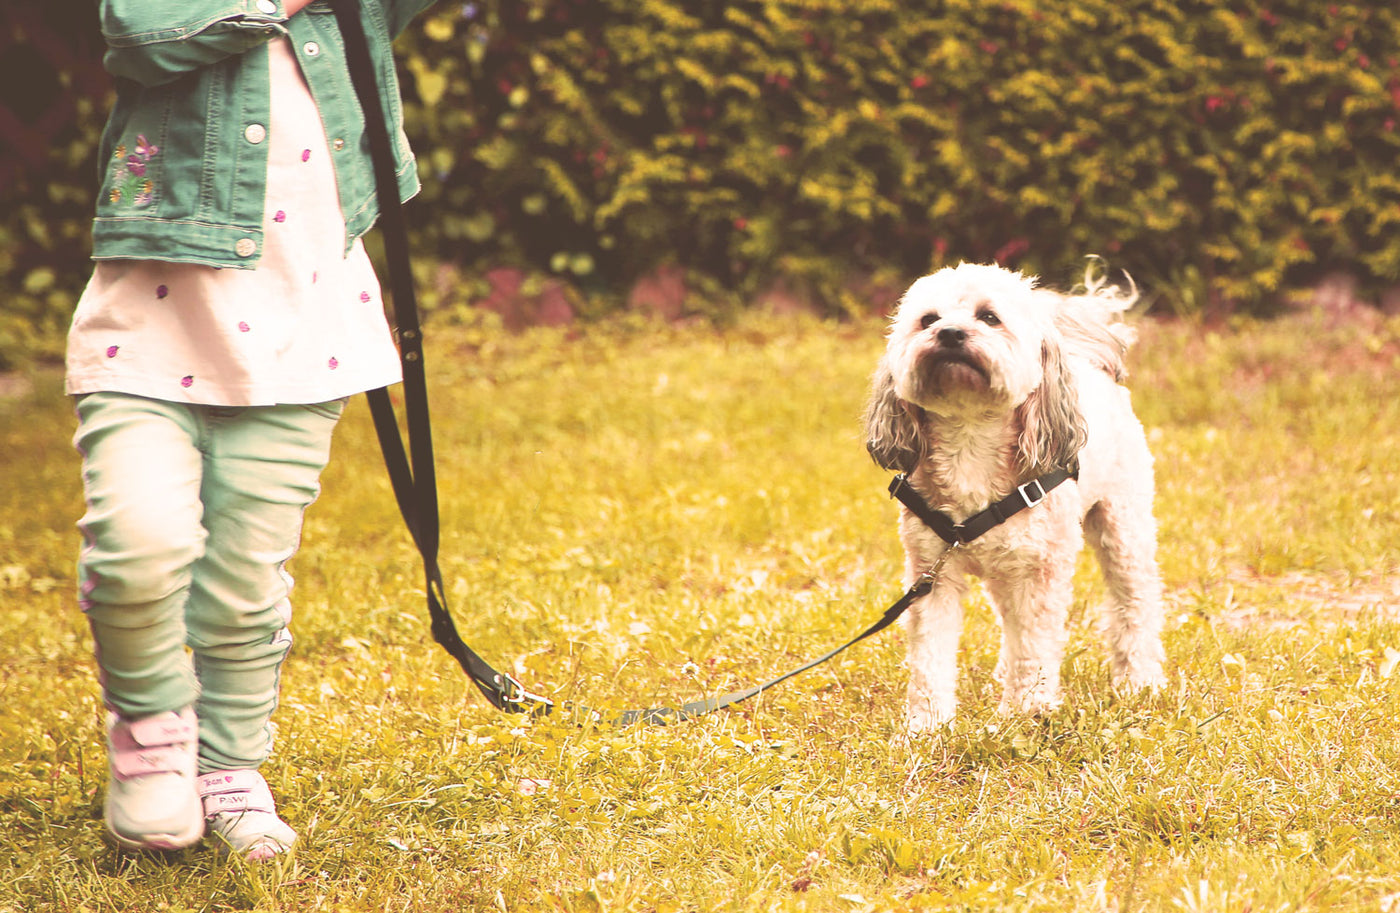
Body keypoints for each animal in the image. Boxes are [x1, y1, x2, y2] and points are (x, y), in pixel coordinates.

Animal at [862, 260, 1170, 733]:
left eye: (989, 317)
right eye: (927, 320)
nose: (950, 333)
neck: (971, 442)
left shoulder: (1040, 574)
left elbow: (1034, 646)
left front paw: (1027, 712)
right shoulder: (932, 575)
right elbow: (930, 655)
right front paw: (927, 726)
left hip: (1123, 526)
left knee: (1135, 602)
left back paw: (1140, 681)